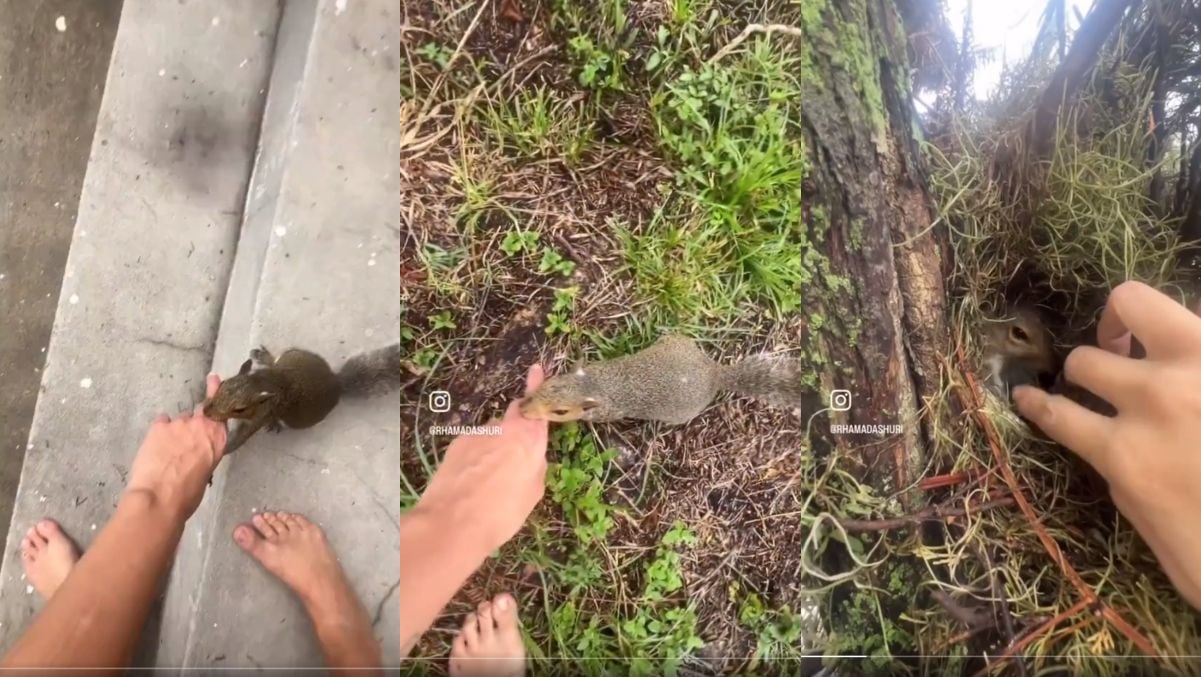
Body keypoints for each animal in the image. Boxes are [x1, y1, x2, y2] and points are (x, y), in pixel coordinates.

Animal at [203, 343, 402, 454]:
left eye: (240, 409)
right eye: (223, 383)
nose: (206, 412)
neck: (262, 383)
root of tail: (336, 383)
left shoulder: (260, 417)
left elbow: (241, 438)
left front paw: (224, 449)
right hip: (293, 354)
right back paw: (262, 356)